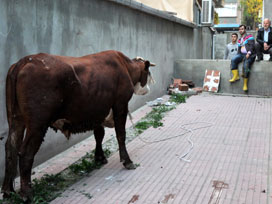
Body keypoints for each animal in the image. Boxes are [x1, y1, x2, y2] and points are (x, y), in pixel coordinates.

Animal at [1, 49, 155, 199]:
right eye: (148, 73)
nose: (148, 88)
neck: (126, 67)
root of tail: (25, 61)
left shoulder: (97, 111)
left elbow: (99, 134)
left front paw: (99, 157)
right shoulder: (120, 105)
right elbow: (120, 134)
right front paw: (127, 161)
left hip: (15, 118)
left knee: (11, 147)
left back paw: (8, 190)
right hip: (37, 124)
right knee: (25, 153)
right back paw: (27, 194)